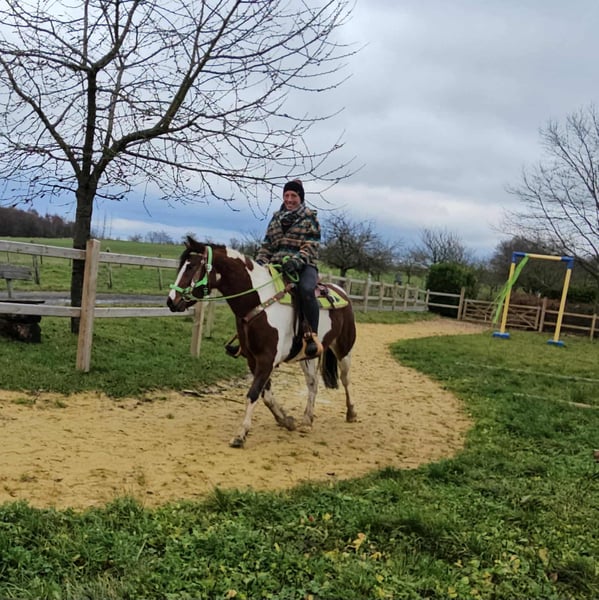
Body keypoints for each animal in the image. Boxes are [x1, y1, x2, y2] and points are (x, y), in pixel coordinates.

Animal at [167, 236, 357, 448]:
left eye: (191, 267)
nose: (171, 301)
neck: (259, 301)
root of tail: (342, 291)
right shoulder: (253, 360)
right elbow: (265, 395)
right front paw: (286, 420)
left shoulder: (267, 360)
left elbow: (253, 393)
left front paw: (240, 434)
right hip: (308, 356)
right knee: (312, 384)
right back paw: (307, 419)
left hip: (344, 349)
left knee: (346, 379)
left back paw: (351, 412)